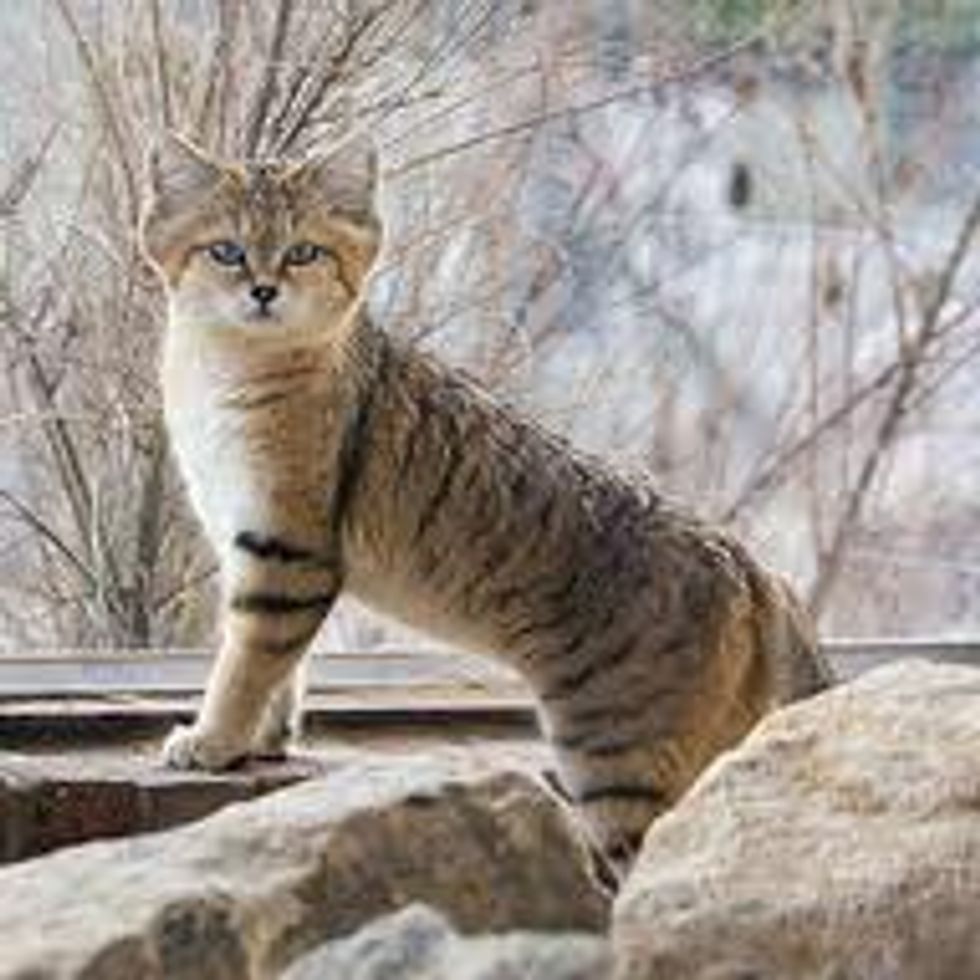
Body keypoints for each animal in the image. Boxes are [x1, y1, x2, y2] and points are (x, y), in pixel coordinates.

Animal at [138, 134, 832, 876]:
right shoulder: (255, 543)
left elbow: (247, 659)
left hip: (617, 768)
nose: (264, 289)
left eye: (303, 252)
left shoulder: (286, 550)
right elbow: (281, 666)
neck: (226, 369)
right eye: (226, 250)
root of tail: (750, 564)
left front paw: (213, 739)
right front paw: (265, 739)